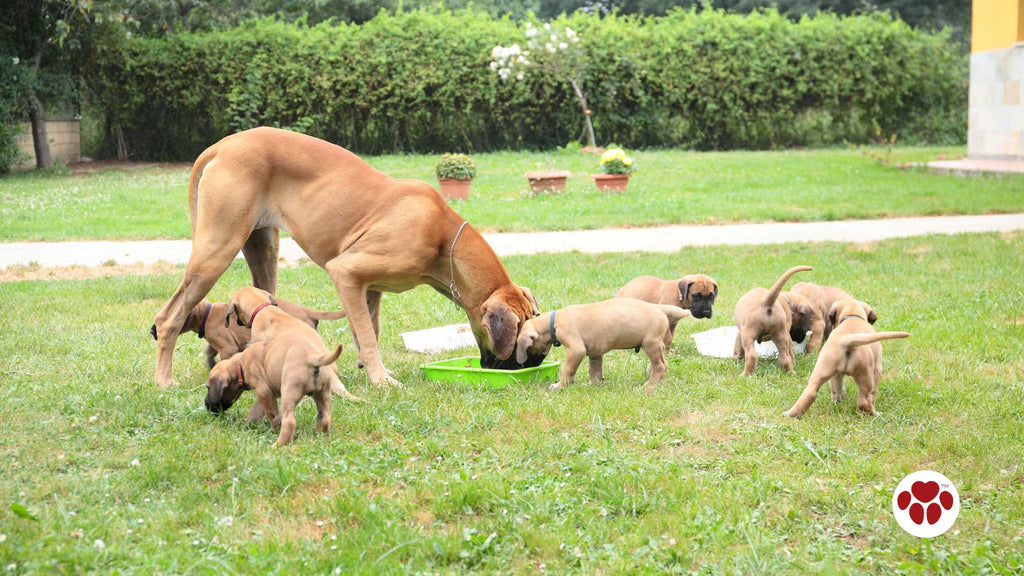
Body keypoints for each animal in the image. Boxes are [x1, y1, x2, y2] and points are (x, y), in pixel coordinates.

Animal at [153, 295, 348, 366]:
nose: (151, 331)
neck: (207, 314)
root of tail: (306, 311)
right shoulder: (216, 344)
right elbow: (209, 352)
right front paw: (210, 365)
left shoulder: (227, 348)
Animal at [516, 297, 692, 391]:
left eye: (528, 349)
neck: (555, 320)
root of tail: (660, 309)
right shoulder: (595, 353)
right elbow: (594, 371)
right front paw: (592, 385)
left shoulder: (576, 350)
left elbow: (567, 369)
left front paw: (560, 385)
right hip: (656, 344)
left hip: (650, 344)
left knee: (661, 366)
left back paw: (648, 387)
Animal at [782, 297, 913, 414]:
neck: (853, 316)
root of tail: (846, 340)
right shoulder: (877, 368)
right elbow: (874, 391)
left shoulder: (837, 374)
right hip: (865, 373)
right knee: (864, 400)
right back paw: (875, 414)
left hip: (822, 369)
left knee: (812, 392)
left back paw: (792, 413)